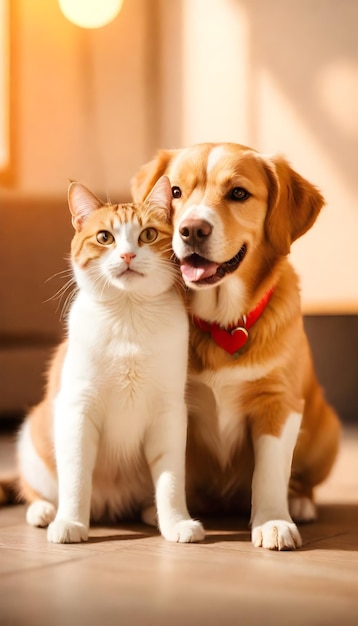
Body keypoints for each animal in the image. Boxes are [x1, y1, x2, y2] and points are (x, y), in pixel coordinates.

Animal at [9, 174, 204, 540]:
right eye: (104, 237)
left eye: (148, 235)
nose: (127, 254)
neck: (128, 316)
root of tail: (109, 505)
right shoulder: (77, 408)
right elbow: (75, 475)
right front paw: (70, 522)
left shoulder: (169, 412)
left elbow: (171, 480)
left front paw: (176, 522)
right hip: (32, 438)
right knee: (34, 488)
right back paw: (44, 511)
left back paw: (152, 514)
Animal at [132, 144, 342, 548]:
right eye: (176, 191)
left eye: (239, 193)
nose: (192, 229)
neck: (223, 323)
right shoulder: (175, 404)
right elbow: (174, 465)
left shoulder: (279, 404)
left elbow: (270, 472)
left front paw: (273, 520)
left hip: (326, 429)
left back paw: (300, 501)